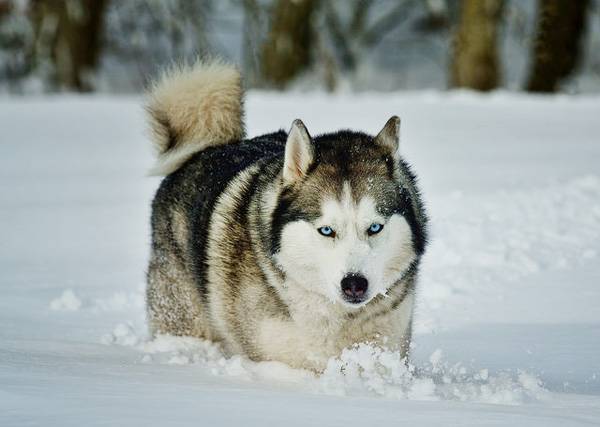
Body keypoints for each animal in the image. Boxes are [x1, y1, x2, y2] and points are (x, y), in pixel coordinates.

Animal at [145, 59, 426, 372]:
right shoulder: (280, 362)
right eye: (326, 230)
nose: (354, 285)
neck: (341, 316)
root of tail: (207, 149)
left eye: (375, 227)